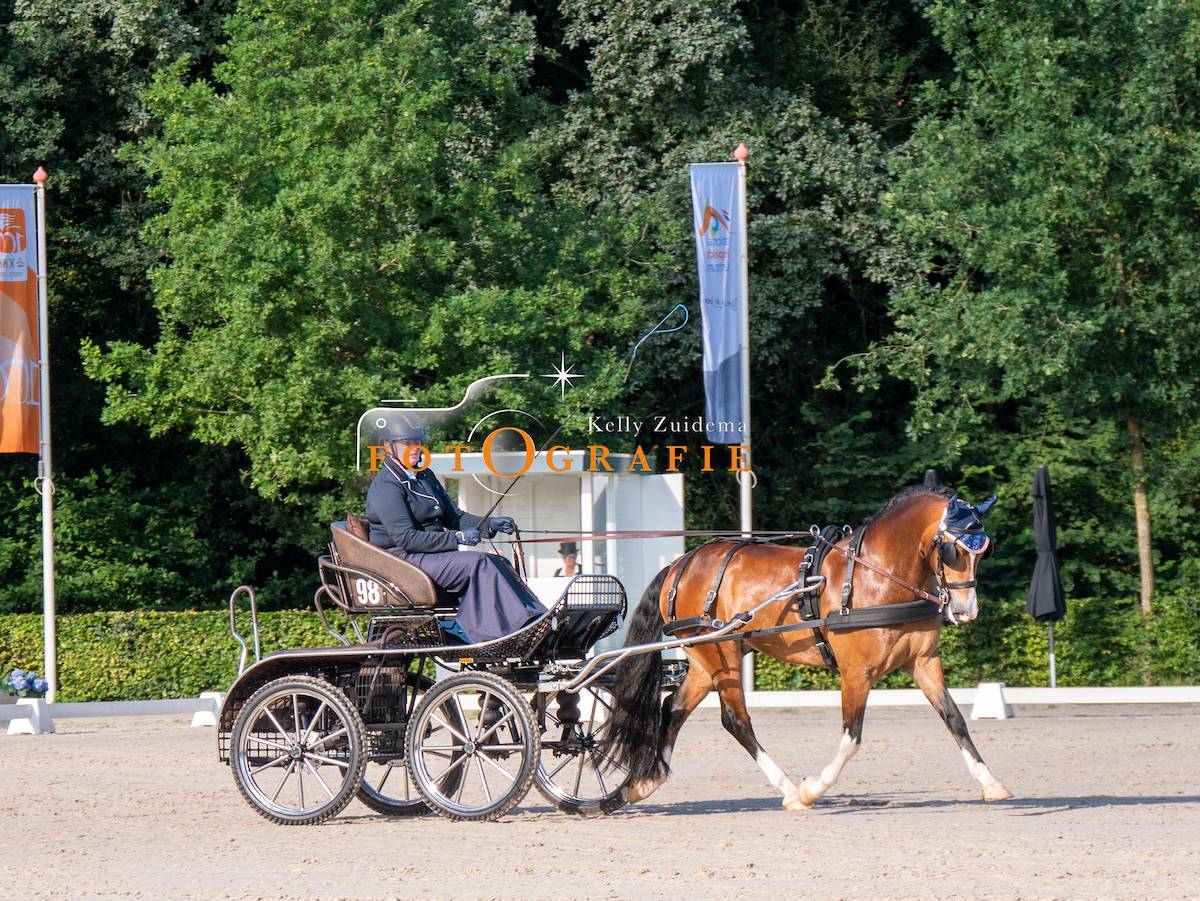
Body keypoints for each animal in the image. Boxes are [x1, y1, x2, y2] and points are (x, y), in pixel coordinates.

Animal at [605, 486, 1013, 810]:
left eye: (983, 551)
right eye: (952, 551)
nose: (965, 611)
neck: (876, 575)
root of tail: (682, 564)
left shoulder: (924, 662)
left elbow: (955, 719)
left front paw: (992, 783)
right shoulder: (856, 672)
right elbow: (852, 737)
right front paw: (811, 790)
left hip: (708, 662)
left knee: (672, 709)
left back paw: (642, 783)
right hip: (722, 655)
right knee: (736, 720)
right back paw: (788, 789)